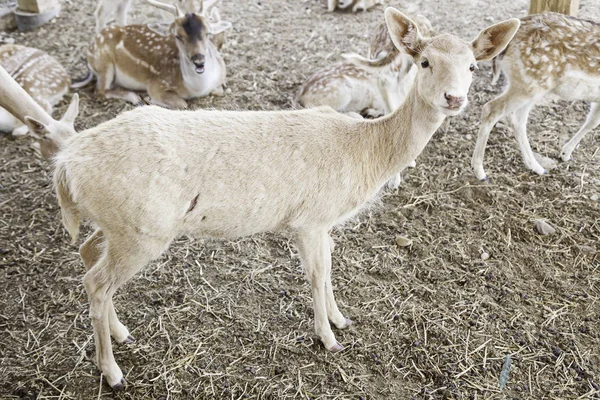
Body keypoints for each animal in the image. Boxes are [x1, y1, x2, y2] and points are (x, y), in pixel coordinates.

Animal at [74, 0, 232, 108]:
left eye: (208, 33)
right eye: (177, 36)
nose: (198, 60)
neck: (198, 88)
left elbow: (220, 90)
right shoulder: (157, 84)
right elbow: (182, 103)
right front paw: (149, 99)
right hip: (104, 64)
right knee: (100, 91)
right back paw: (136, 98)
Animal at [472, 12, 600, 180]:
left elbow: (593, 121)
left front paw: (565, 153)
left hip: (526, 83)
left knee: (517, 120)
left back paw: (536, 166)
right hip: (532, 83)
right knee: (492, 109)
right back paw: (479, 171)